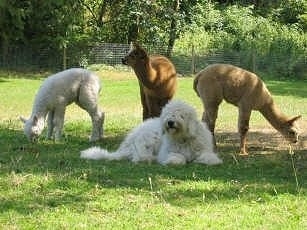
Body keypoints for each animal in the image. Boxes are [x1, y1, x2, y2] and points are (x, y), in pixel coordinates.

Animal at [80, 99, 223, 164]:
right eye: (168, 114)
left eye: (181, 115)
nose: (170, 122)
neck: (183, 138)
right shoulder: (167, 152)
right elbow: (177, 157)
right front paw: (175, 160)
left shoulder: (203, 149)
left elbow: (207, 156)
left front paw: (210, 160)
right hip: (148, 140)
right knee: (140, 157)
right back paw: (151, 159)